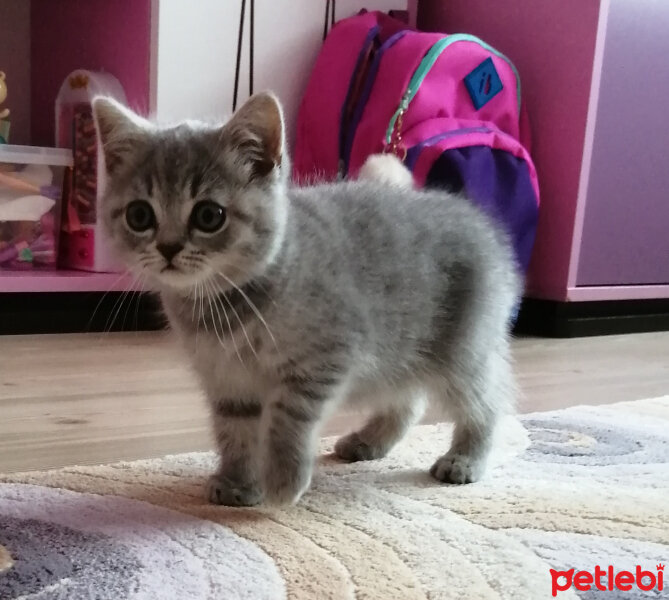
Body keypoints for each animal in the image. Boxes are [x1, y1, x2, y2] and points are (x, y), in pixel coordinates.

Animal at [92, 92, 520, 506]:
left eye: (209, 216)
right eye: (139, 215)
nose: (167, 248)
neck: (225, 307)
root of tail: (477, 221)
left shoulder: (323, 359)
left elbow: (287, 421)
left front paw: (283, 481)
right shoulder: (227, 380)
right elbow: (234, 431)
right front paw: (236, 481)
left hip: (463, 351)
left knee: (487, 401)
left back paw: (465, 458)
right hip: (400, 354)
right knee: (407, 401)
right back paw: (369, 441)